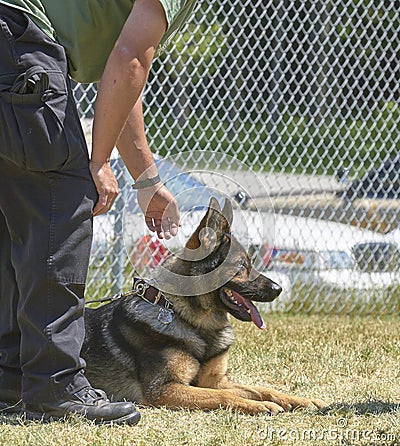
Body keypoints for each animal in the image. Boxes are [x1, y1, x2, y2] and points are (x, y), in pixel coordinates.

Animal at [83, 199, 326, 414]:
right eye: (241, 265)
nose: (279, 289)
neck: (188, 319)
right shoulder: (164, 389)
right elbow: (224, 396)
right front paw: (260, 406)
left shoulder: (215, 380)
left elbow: (263, 389)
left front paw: (302, 400)